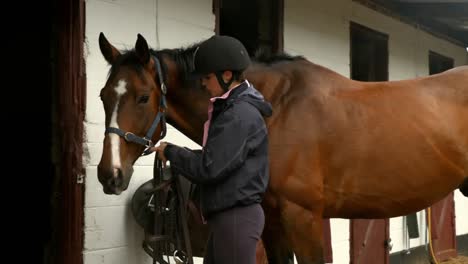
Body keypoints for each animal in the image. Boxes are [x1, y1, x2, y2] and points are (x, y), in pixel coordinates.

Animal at [96, 33, 468, 264]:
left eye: (143, 97)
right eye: (103, 95)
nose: (109, 175)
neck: (274, 109)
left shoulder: (303, 218)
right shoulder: (272, 222)